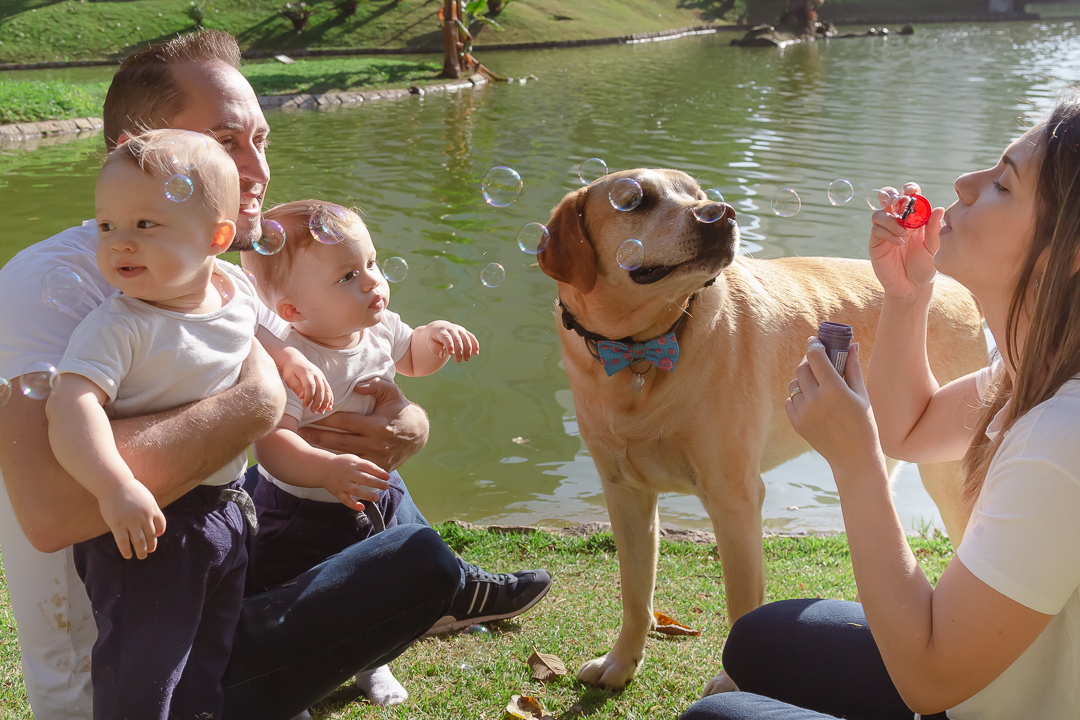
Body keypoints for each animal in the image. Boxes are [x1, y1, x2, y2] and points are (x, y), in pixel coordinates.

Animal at [537, 168, 987, 691]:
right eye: (634, 200)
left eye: (698, 195)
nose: (721, 212)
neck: (642, 354)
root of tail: (954, 286)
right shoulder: (625, 494)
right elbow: (635, 593)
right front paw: (620, 663)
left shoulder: (735, 500)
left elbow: (742, 608)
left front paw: (732, 683)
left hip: (947, 473)